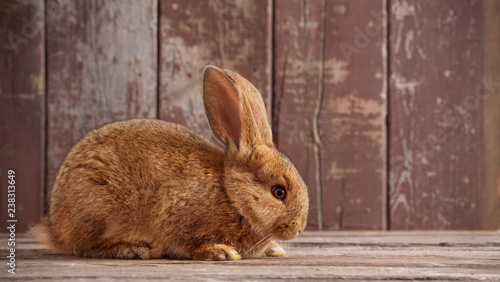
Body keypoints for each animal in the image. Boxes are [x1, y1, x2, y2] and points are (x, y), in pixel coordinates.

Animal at [32, 65, 308, 260]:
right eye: (279, 192)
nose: (300, 228)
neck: (231, 195)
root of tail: (55, 229)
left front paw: (274, 248)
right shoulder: (177, 213)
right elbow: (191, 243)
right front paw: (221, 252)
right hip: (99, 209)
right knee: (84, 247)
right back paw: (137, 249)